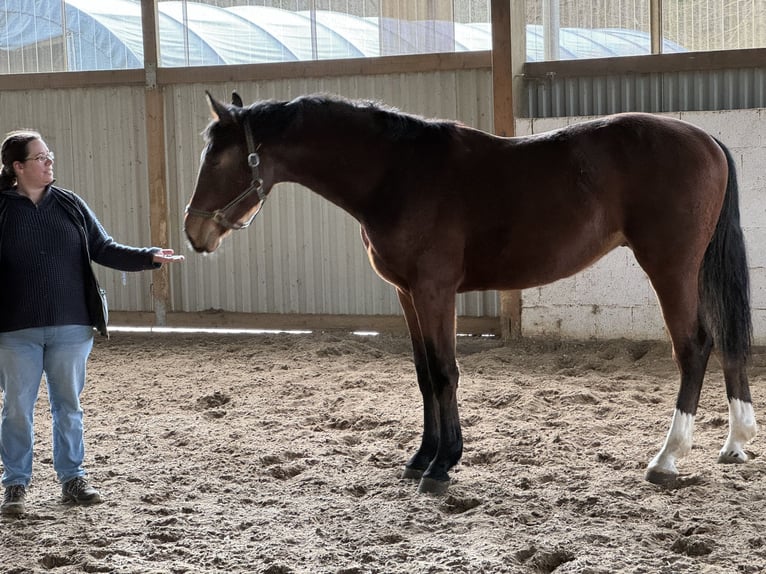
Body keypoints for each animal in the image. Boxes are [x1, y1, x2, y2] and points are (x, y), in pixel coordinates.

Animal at [184, 91, 756, 496]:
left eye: (221, 160)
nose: (194, 233)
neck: (396, 173)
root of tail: (706, 140)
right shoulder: (408, 295)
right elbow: (423, 374)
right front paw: (423, 456)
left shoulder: (435, 291)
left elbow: (444, 372)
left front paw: (442, 465)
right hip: (696, 267)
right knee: (725, 339)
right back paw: (736, 442)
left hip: (670, 266)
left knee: (693, 348)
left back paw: (667, 458)